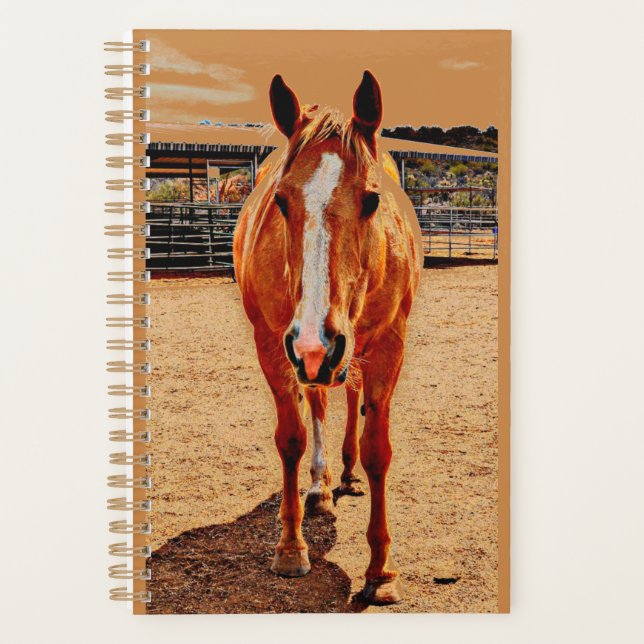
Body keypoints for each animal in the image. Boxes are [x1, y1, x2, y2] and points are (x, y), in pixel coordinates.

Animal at [233, 70, 422, 604]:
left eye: (373, 198)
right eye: (280, 200)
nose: (318, 345)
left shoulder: (388, 344)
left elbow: (380, 451)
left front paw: (381, 570)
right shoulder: (277, 346)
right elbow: (292, 438)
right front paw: (290, 547)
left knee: (351, 398)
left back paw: (349, 472)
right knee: (316, 404)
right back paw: (319, 487)